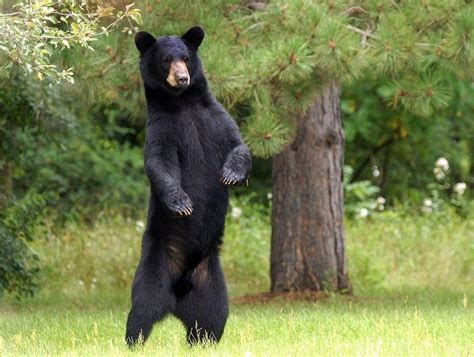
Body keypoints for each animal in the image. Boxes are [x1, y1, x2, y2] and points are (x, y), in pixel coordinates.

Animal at [126, 26, 252, 346]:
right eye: (166, 61)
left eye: (184, 58)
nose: (182, 77)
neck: (183, 102)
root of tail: (178, 293)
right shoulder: (162, 128)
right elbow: (160, 162)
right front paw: (181, 202)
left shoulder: (216, 118)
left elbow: (239, 146)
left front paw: (231, 174)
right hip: (156, 264)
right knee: (143, 308)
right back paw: (134, 341)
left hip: (210, 279)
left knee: (213, 314)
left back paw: (204, 340)